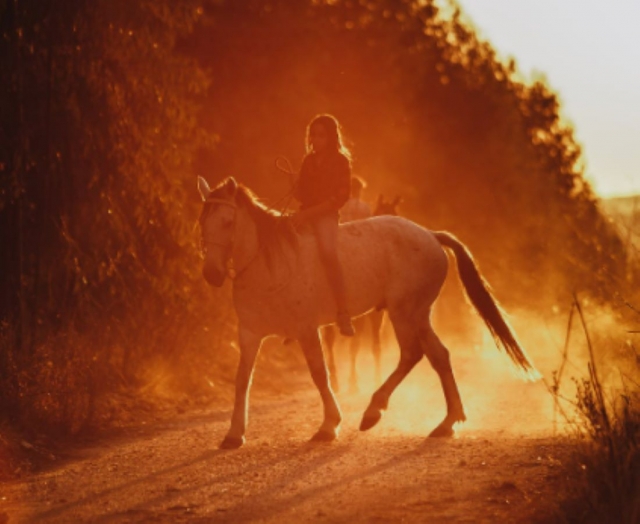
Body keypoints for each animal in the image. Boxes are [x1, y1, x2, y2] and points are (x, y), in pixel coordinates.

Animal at [198, 176, 538, 449]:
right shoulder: (249, 334)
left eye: (227, 222)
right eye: (203, 222)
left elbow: (319, 374)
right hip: (419, 314)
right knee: (439, 356)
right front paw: (234, 434)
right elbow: (242, 379)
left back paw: (374, 411)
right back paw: (447, 422)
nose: (212, 274)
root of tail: (430, 235)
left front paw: (328, 426)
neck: (269, 262)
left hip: (402, 311)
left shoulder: (307, 329)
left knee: (411, 354)